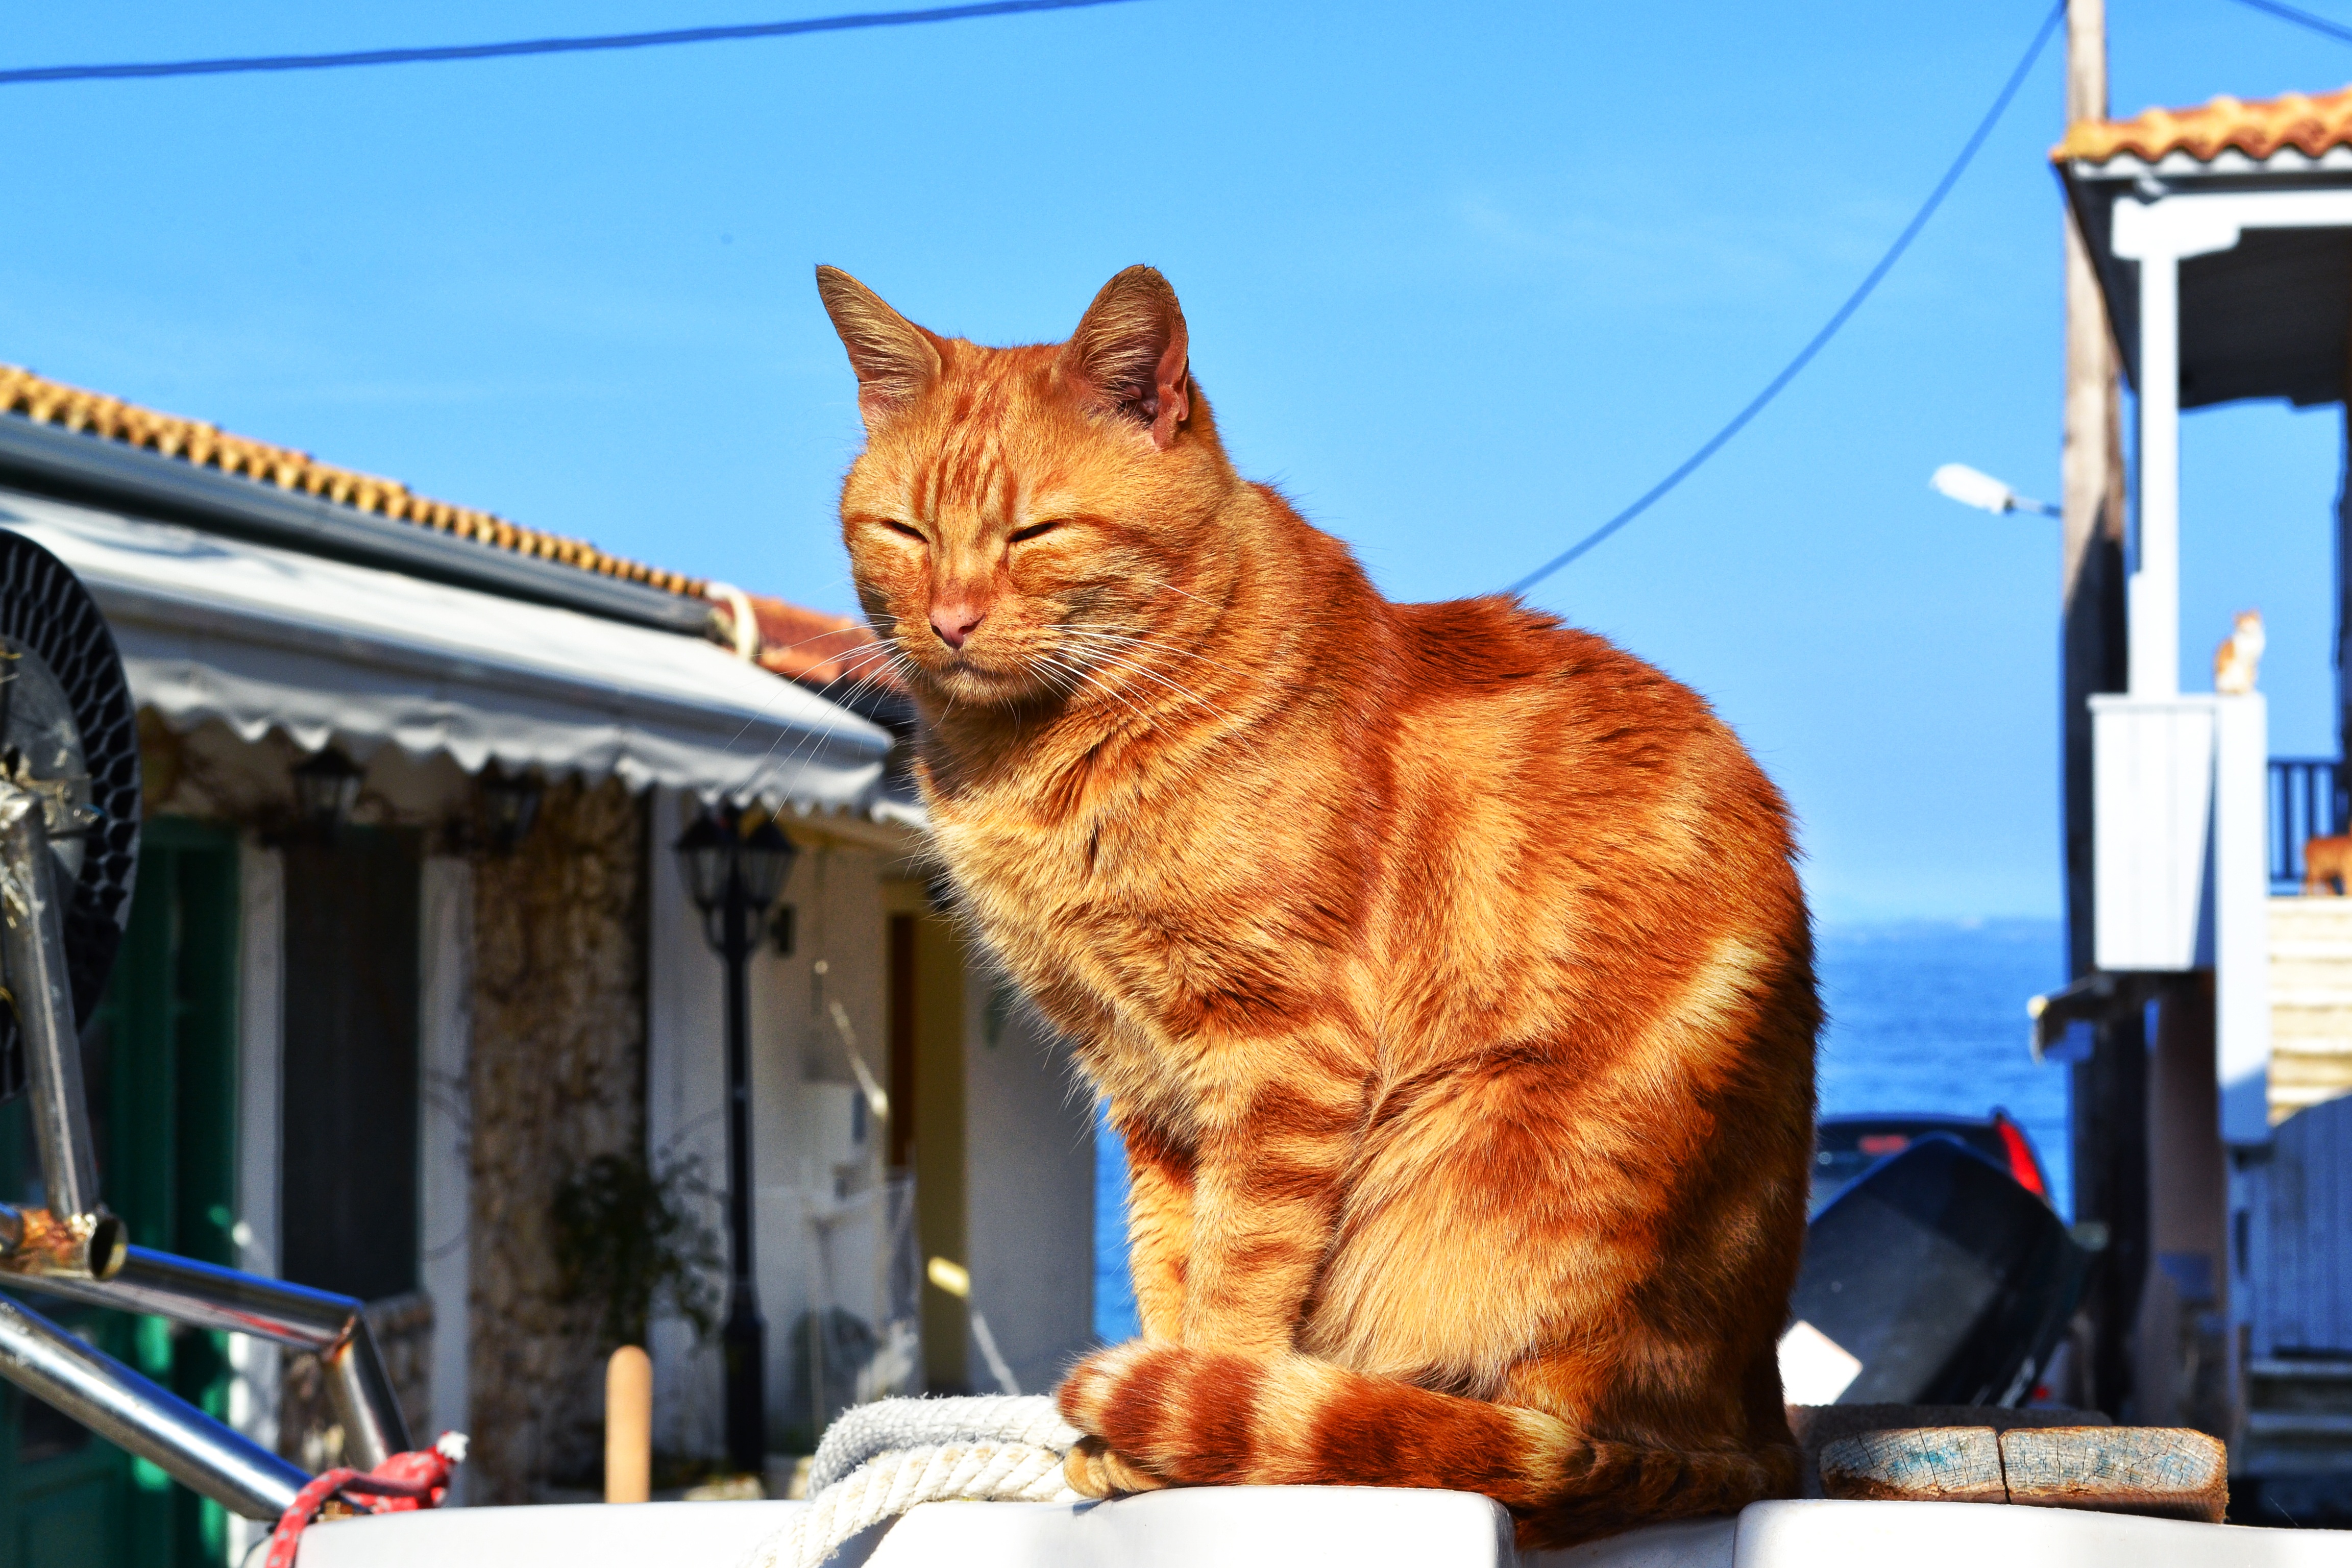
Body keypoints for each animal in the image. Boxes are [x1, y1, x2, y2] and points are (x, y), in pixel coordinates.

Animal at [818, 266, 1825, 1542]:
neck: (1045, 763)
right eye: (902, 532)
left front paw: (1187, 1427)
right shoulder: (1145, 1090)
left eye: (1036, 531)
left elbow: (1238, 1273)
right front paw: (1139, 1427)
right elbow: (1167, 1264)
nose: (948, 619)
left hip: (1499, 1177)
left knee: (1531, 1441)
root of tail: (1759, 1429)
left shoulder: (1280, 1053)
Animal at [2211, 606, 2267, 691]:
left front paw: (2250, 686)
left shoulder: (2254, 660)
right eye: (2241, 623)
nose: (2246, 626)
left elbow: (2251, 674)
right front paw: (2246, 686)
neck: (2250, 639)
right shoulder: (2243, 658)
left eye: (2250, 620)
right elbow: (2247, 673)